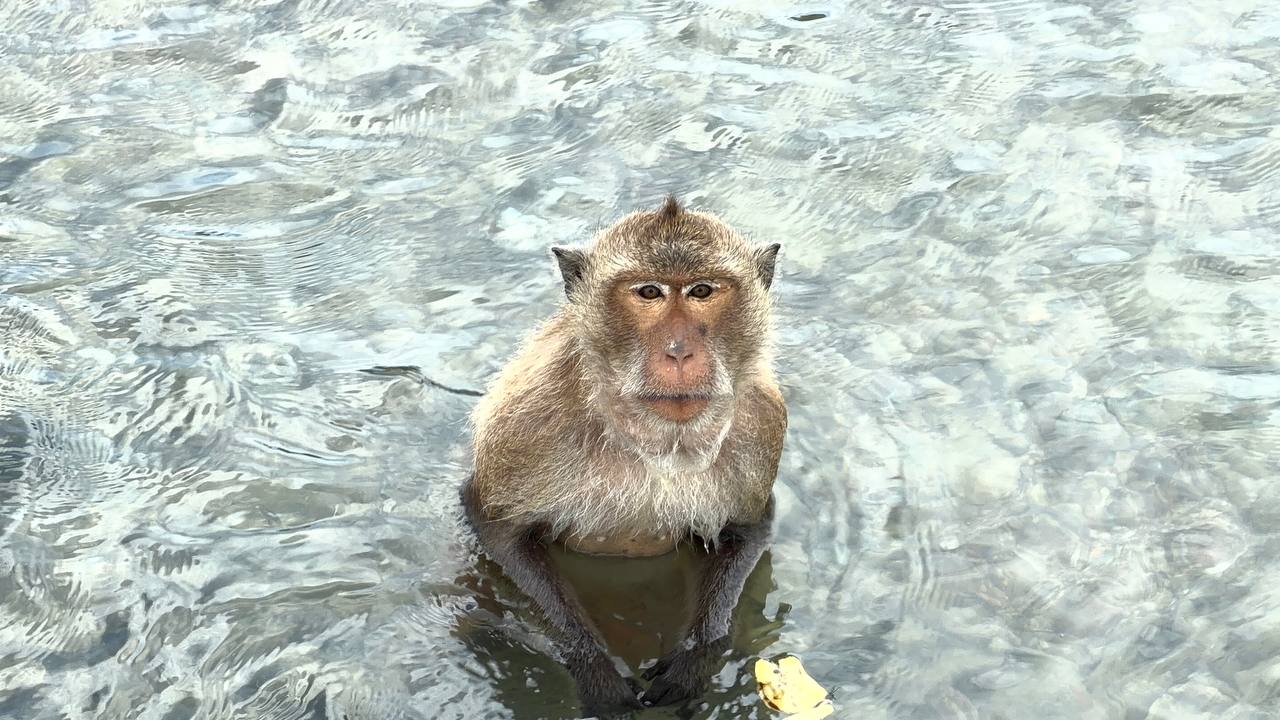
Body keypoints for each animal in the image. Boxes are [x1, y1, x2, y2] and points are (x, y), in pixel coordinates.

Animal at [461, 196, 786, 716]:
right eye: (649, 292)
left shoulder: (762, 421)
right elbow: (499, 530)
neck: (652, 439)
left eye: (701, 290)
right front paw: (593, 668)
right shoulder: (527, 420)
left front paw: (698, 658)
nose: (679, 351)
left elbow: (748, 528)